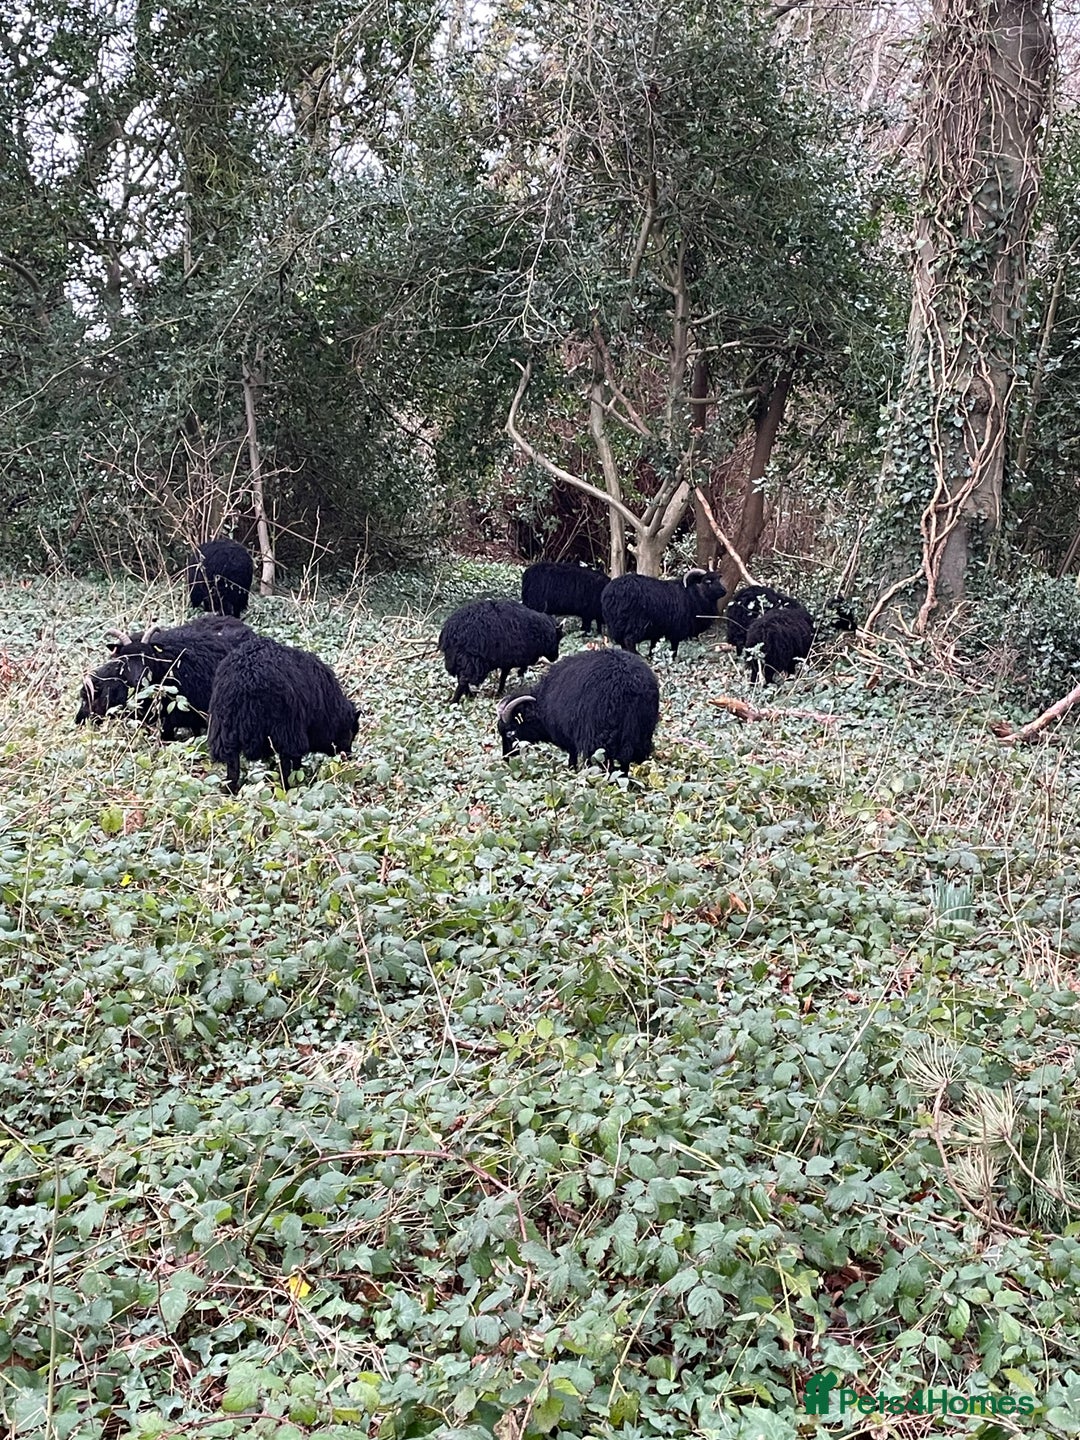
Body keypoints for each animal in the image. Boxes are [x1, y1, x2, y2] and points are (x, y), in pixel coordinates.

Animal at [207, 635, 359, 793]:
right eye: (351, 733)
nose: (349, 757)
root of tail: (246, 678)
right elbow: (295, 763)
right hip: (285, 732)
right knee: (285, 767)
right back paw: (287, 788)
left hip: (224, 732)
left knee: (232, 768)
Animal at [497, 648, 660, 775]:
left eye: (510, 732)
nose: (505, 759)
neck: (542, 704)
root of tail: (632, 684)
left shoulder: (569, 736)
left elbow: (572, 756)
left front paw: (571, 770)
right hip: (641, 732)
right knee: (626, 759)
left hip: (601, 737)